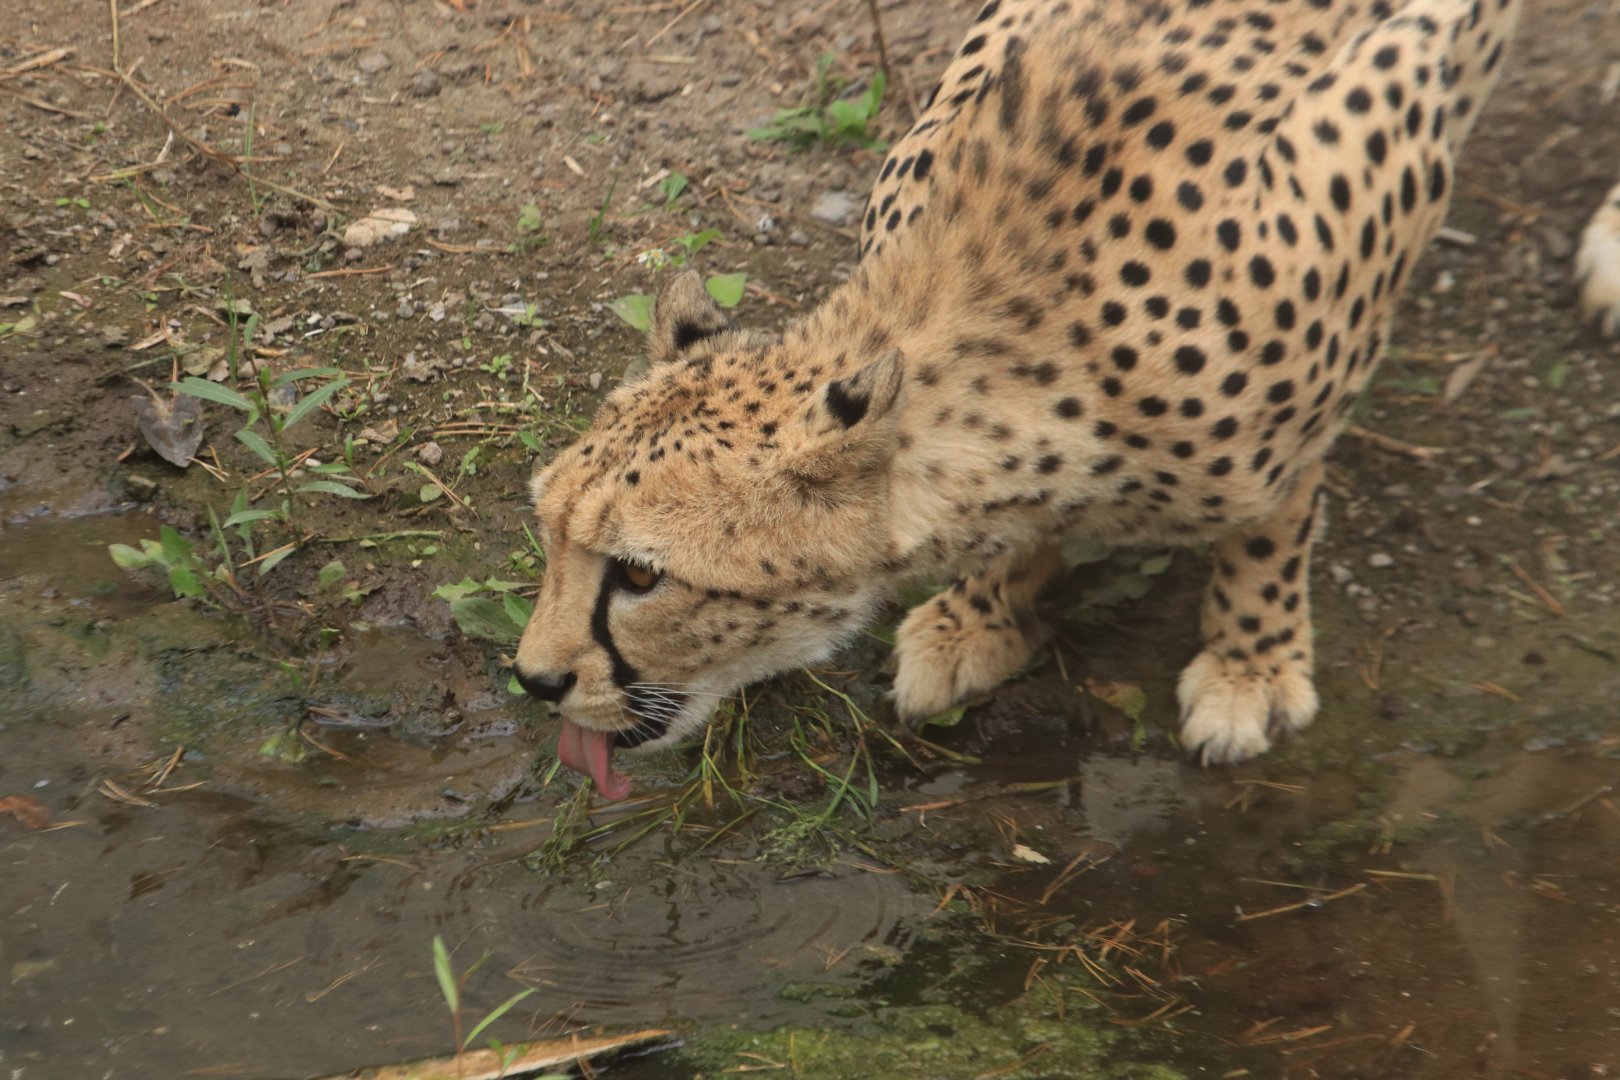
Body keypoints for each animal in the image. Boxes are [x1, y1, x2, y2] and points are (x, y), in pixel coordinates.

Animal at [513, 0, 1529, 800]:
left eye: (642, 577)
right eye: (548, 531)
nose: (532, 680)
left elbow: (1277, 508)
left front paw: (1254, 661)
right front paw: (982, 614)